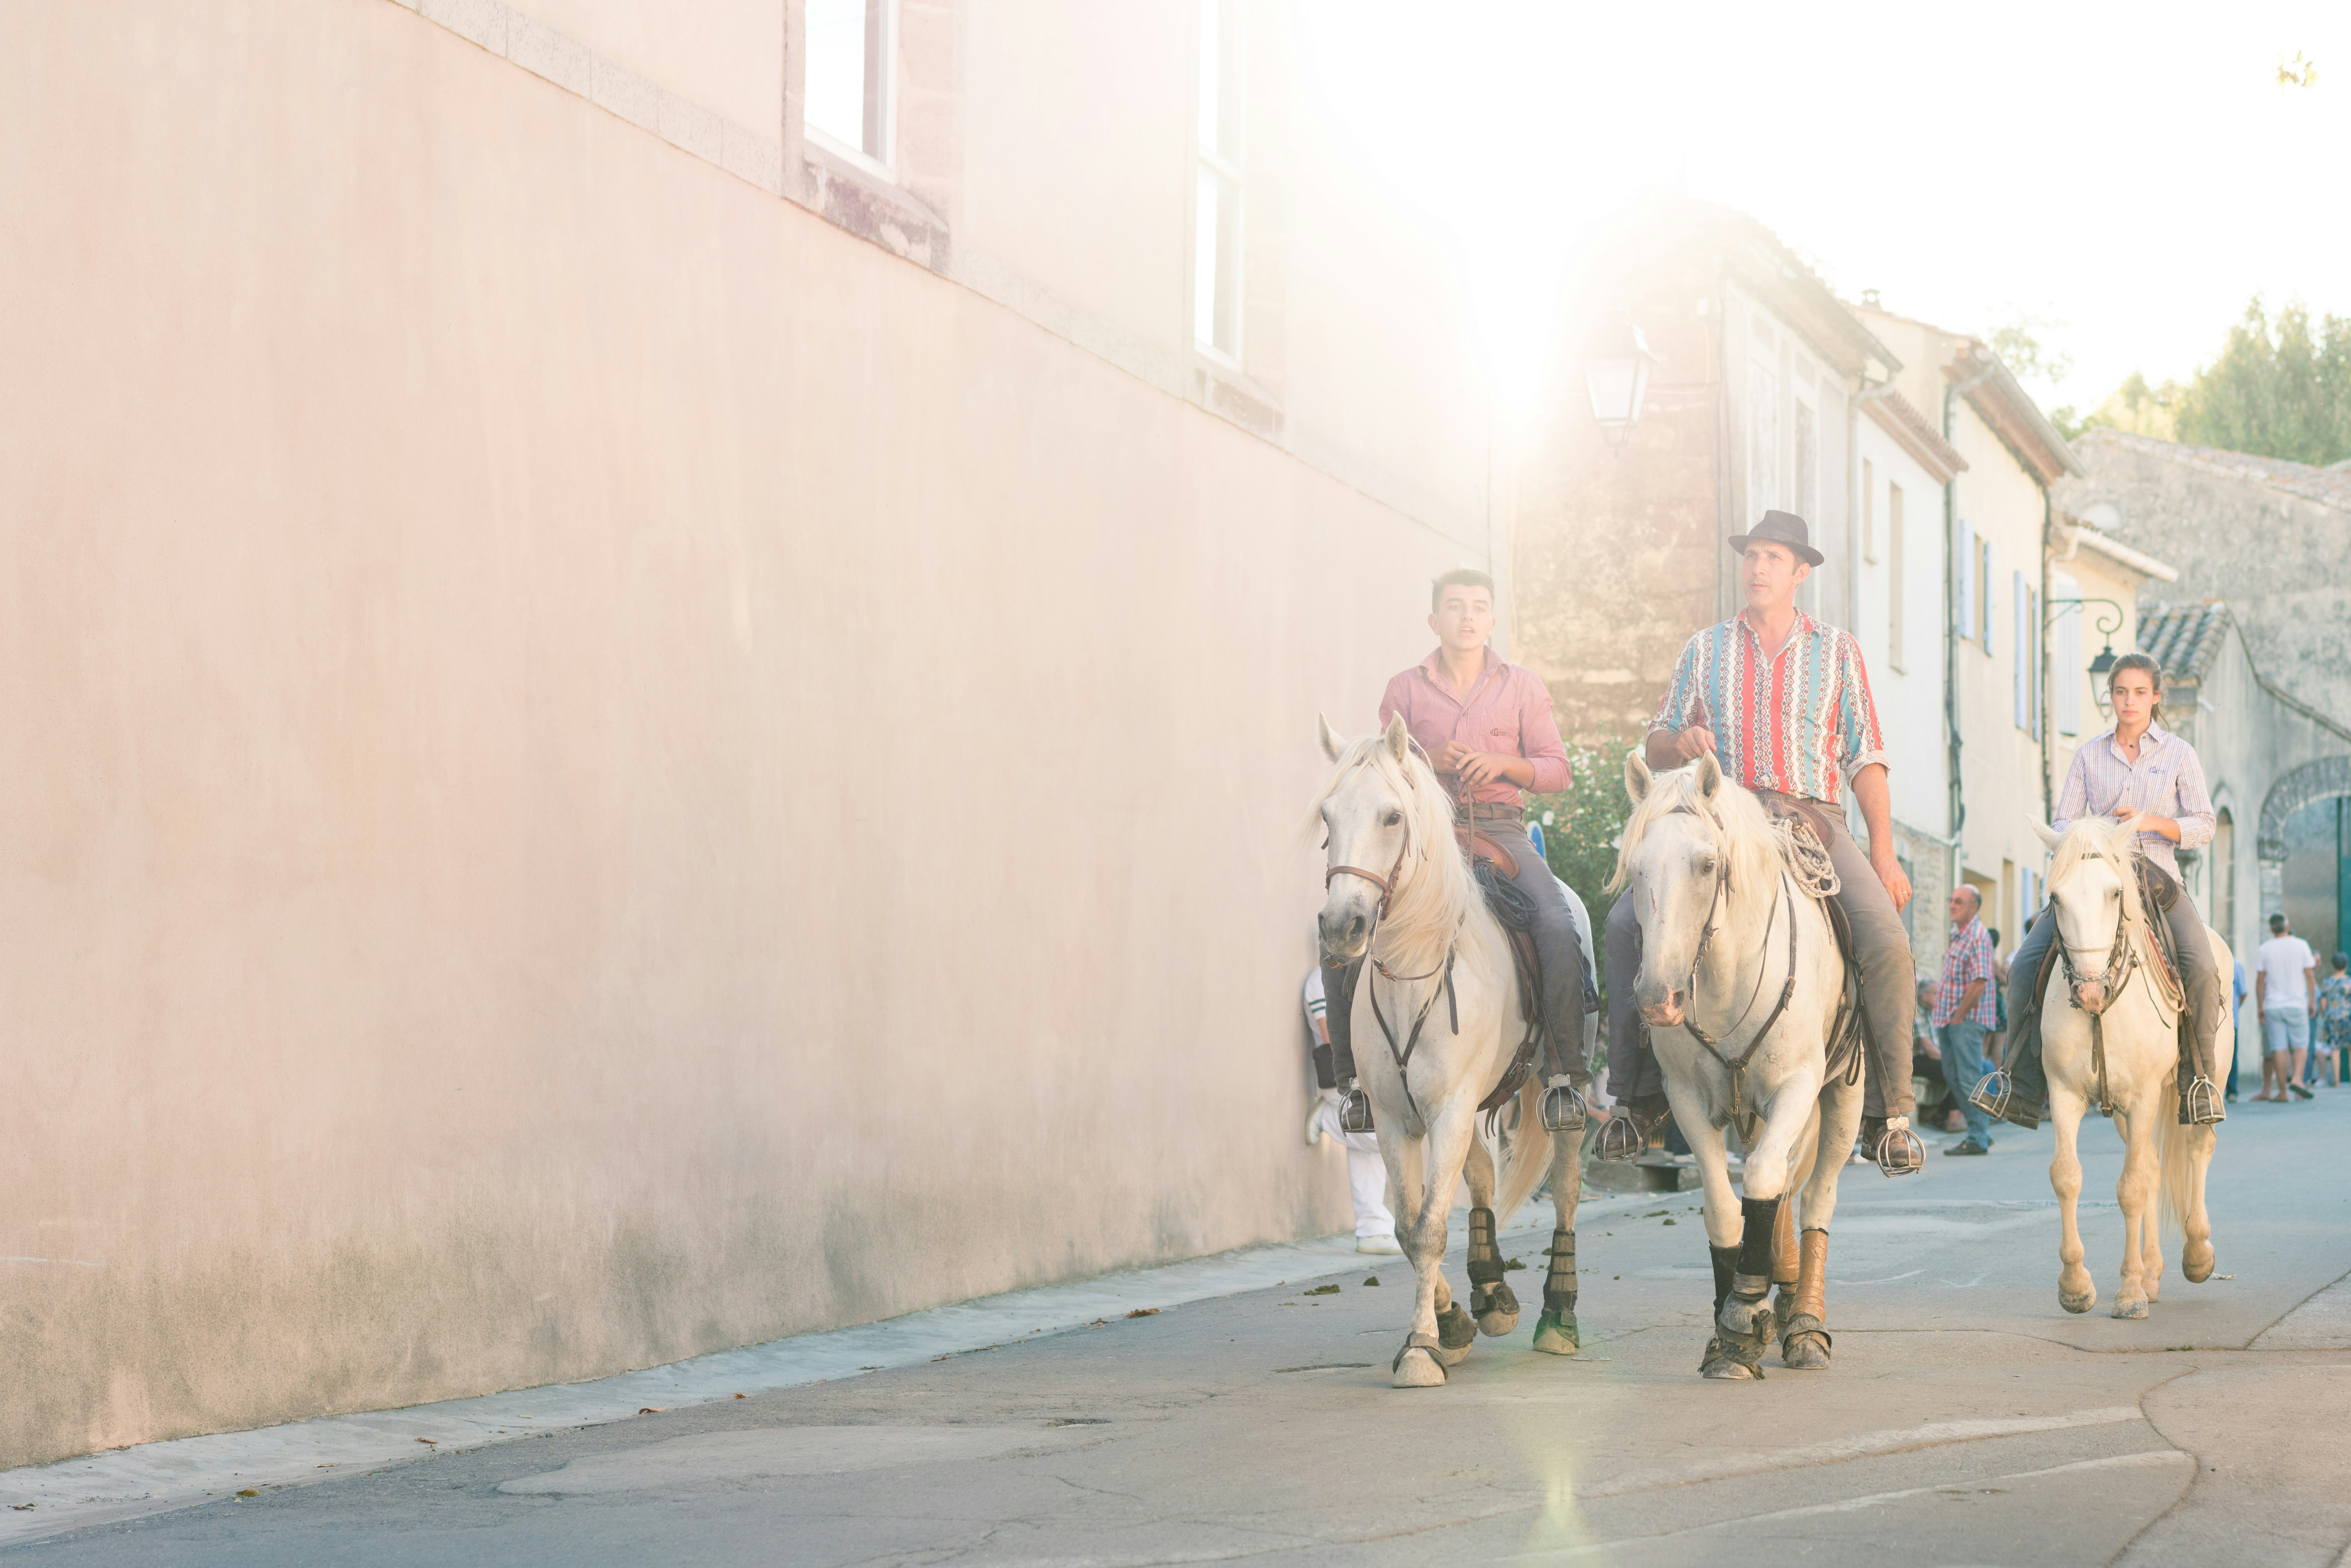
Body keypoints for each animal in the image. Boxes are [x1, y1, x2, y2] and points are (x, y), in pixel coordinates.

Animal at [1317, 719, 1589, 1391]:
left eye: (1392, 816)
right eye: (1327, 816)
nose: (1341, 927)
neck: (1413, 972)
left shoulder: (1448, 1109)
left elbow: (1432, 1225)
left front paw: (1420, 1348)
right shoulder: (1397, 1119)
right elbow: (1409, 1226)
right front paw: (1448, 1324)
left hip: (1557, 1094)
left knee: (1565, 1187)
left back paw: (1557, 1315)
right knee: (1482, 1177)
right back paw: (1491, 1295)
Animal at [1608, 752, 1862, 1382]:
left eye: (1706, 864)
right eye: (1635, 868)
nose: (1658, 999)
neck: (1729, 978)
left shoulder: (1796, 1087)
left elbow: (1767, 1182)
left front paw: (1747, 1310)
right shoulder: (1688, 1100)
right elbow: (1725, 1208)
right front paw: (1728, 1337)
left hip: (1844, 1100)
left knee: (1813, 1198)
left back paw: (1805, 1324)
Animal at [2031, 818, 2210, 1316]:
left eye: (2115, 893)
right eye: (2056, 898)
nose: (2090, 992)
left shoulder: (2145, 1096)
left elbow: (2130, 1188)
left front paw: (2129, 1292)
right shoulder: (2066, 1094)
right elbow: (2066, 1177)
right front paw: (2076, 1286)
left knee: (2197, 1148)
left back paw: (2197, 1255)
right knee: (2150, 1164)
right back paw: (2152, 1273)